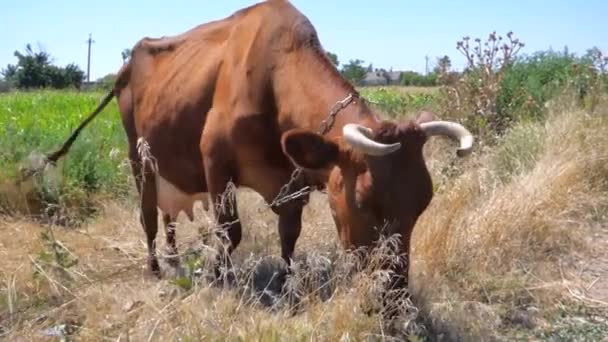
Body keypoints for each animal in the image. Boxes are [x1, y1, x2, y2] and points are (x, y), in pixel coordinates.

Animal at [39, 1, 476, 288]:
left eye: (423, 201)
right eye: (365, 201)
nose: (394, 289)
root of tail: (129, 61)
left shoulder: (292, 181)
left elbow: (289, 234)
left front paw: (287, 281)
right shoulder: (215, 162)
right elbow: (229, 232)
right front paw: (221, 278)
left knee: (167, 214)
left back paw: (175, 259)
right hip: (137, 154)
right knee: (147, 215)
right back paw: (155, 268)